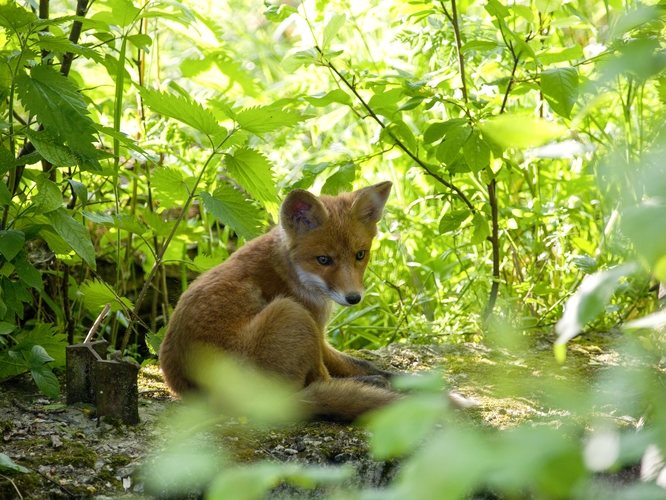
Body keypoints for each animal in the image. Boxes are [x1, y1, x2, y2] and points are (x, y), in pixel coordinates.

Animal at [160, 182, 400, 420]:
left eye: (360, 255)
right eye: (323, 260)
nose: (353, 298)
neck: (291, 271)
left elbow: (366, 364)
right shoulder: (318, 332)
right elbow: (357, 365)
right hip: (292, 312)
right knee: (321, 380)